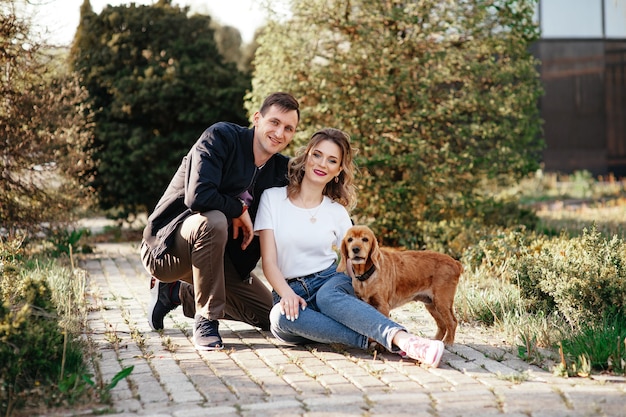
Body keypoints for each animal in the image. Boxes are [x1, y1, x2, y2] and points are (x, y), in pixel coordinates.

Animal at [336, 226, 464, 342]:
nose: (355, 249)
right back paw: (436, 340)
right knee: (442, 324)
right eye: (350, 239)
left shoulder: (383, 306)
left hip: (442, 301)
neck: (367, 276)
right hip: (431, 304)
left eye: (365, 239)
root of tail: (456, 263)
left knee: (452, 322)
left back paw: (447, 342)